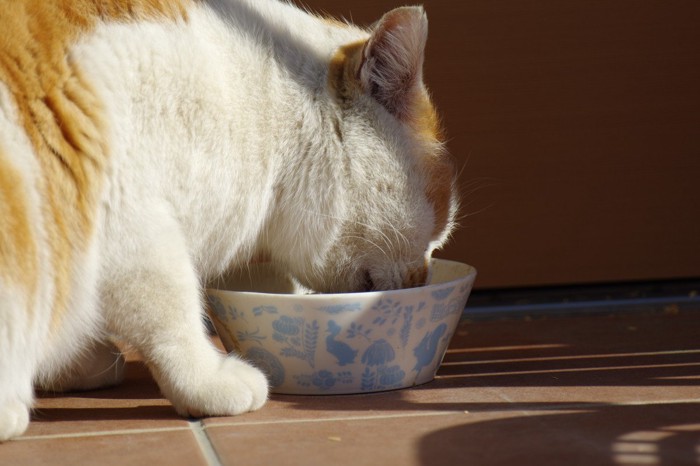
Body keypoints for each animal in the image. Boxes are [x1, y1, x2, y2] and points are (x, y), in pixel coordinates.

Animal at [0, 0, 456, 440]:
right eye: (435, 234)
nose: (423, 278)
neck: (262, 106)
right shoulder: (129, 213)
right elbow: (169, 308)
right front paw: (206, 378)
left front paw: (72, 364)